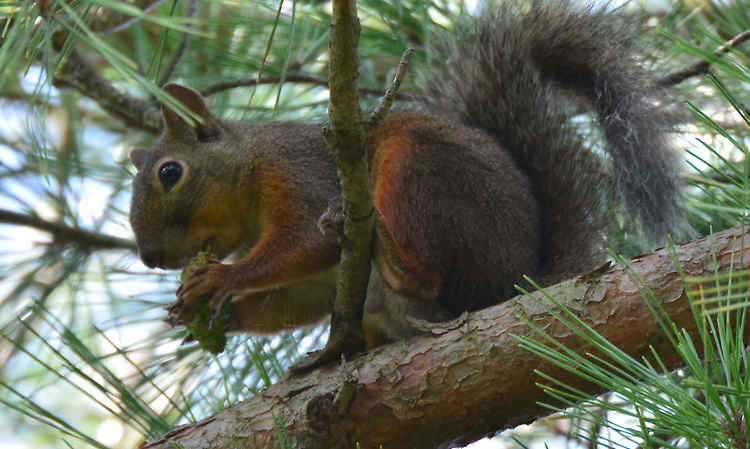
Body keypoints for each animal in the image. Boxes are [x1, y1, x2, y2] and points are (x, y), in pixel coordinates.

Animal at [128, 0, 692, 346]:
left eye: (170, 172)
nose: (151, 258)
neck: (249, 171)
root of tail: (513, 284)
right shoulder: (311, 288)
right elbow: (296, 299)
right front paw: (206, 314)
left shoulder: (299, 176)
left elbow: (307, 241)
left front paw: (221, 278)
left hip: (418, 166)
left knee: (427, 276)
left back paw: (395, 261)